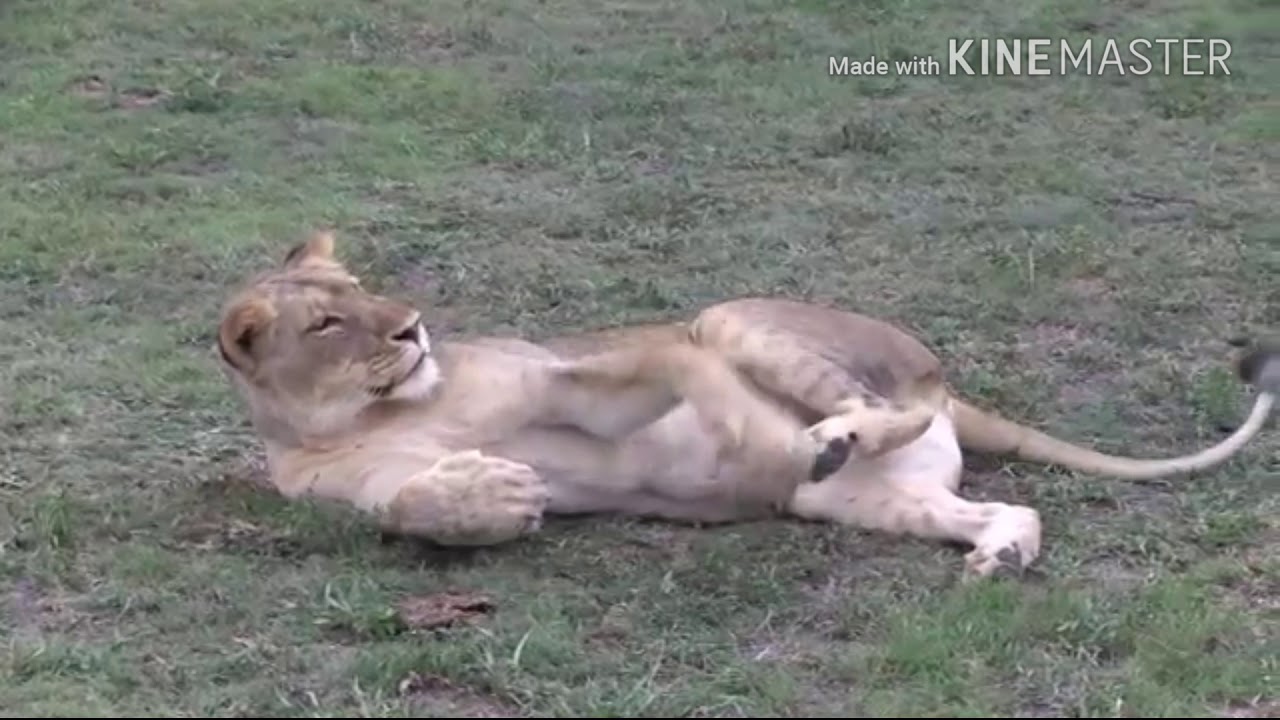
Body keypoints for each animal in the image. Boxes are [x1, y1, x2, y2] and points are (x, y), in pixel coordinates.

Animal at [214, 230, 1278, 579]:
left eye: (361, 287)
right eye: (328, 321)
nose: (413, 327)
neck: (378, 410)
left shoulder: (576, 371)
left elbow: (636, 372)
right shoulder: (353, 488)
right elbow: (409, 505)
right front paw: (493, 500)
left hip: (740, 316)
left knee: (868, 402)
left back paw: (832, 430)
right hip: (864, 499)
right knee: (1002, 503)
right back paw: (998, 551)